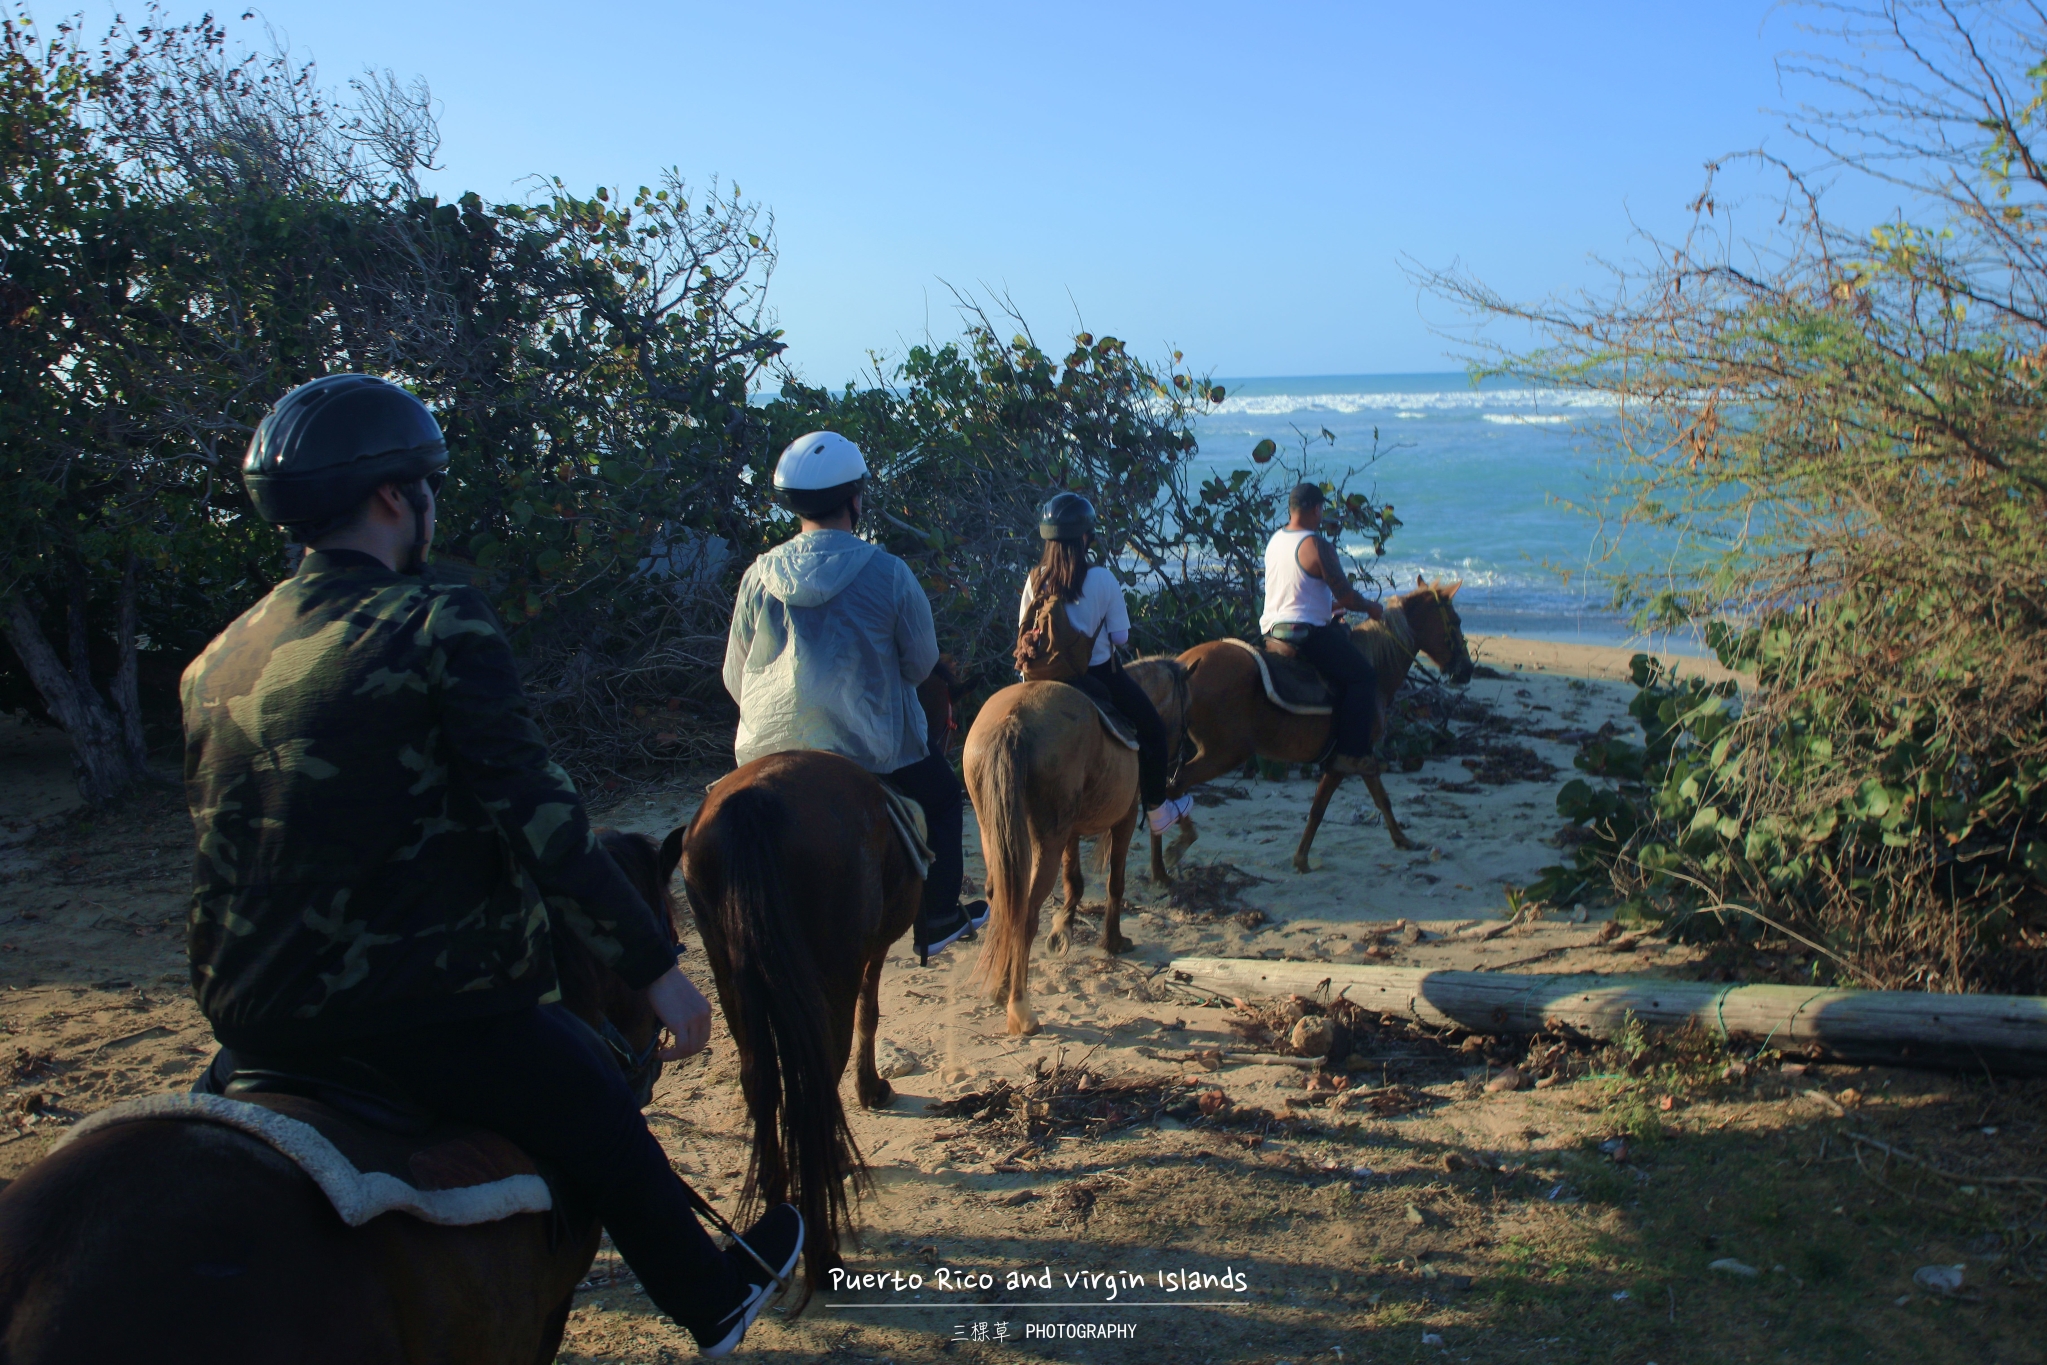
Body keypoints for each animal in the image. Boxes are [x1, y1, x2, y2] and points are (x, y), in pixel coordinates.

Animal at [671, 663, 957, 1301]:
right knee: (816, 1074)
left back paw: (783, 1207)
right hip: (831, 965)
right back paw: (823, 1250)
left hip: (731, 972)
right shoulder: (868, 952)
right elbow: (869, 1016)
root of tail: (753, 801)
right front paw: (872, 1089)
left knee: (762, 1078)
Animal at [962, 658, 1187, 1035]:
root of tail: (1012, 720)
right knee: (1025, 913)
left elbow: (1074, 881)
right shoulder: (1125, 818)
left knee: (1003, 899)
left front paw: (1062, 930)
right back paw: (1020, 1008)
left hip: (995, 833)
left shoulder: (1070, 831)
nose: (1180, 764)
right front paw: (1112, 941)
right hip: (1045, 842)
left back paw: (1001, 986)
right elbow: (1115, 883)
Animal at [1154, 577, 1473, 875]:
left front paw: (1401, 840)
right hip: (1224, 753)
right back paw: (1176, 850)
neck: (1375, 667)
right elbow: (1320, 809)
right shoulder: (1346, 758)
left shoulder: (1359, 754)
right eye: (1456, 621)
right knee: (1173, 788)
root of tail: (1184, 663)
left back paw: (1161, 871)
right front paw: (1302, 859)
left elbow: (1379, 798)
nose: (1467, 670)